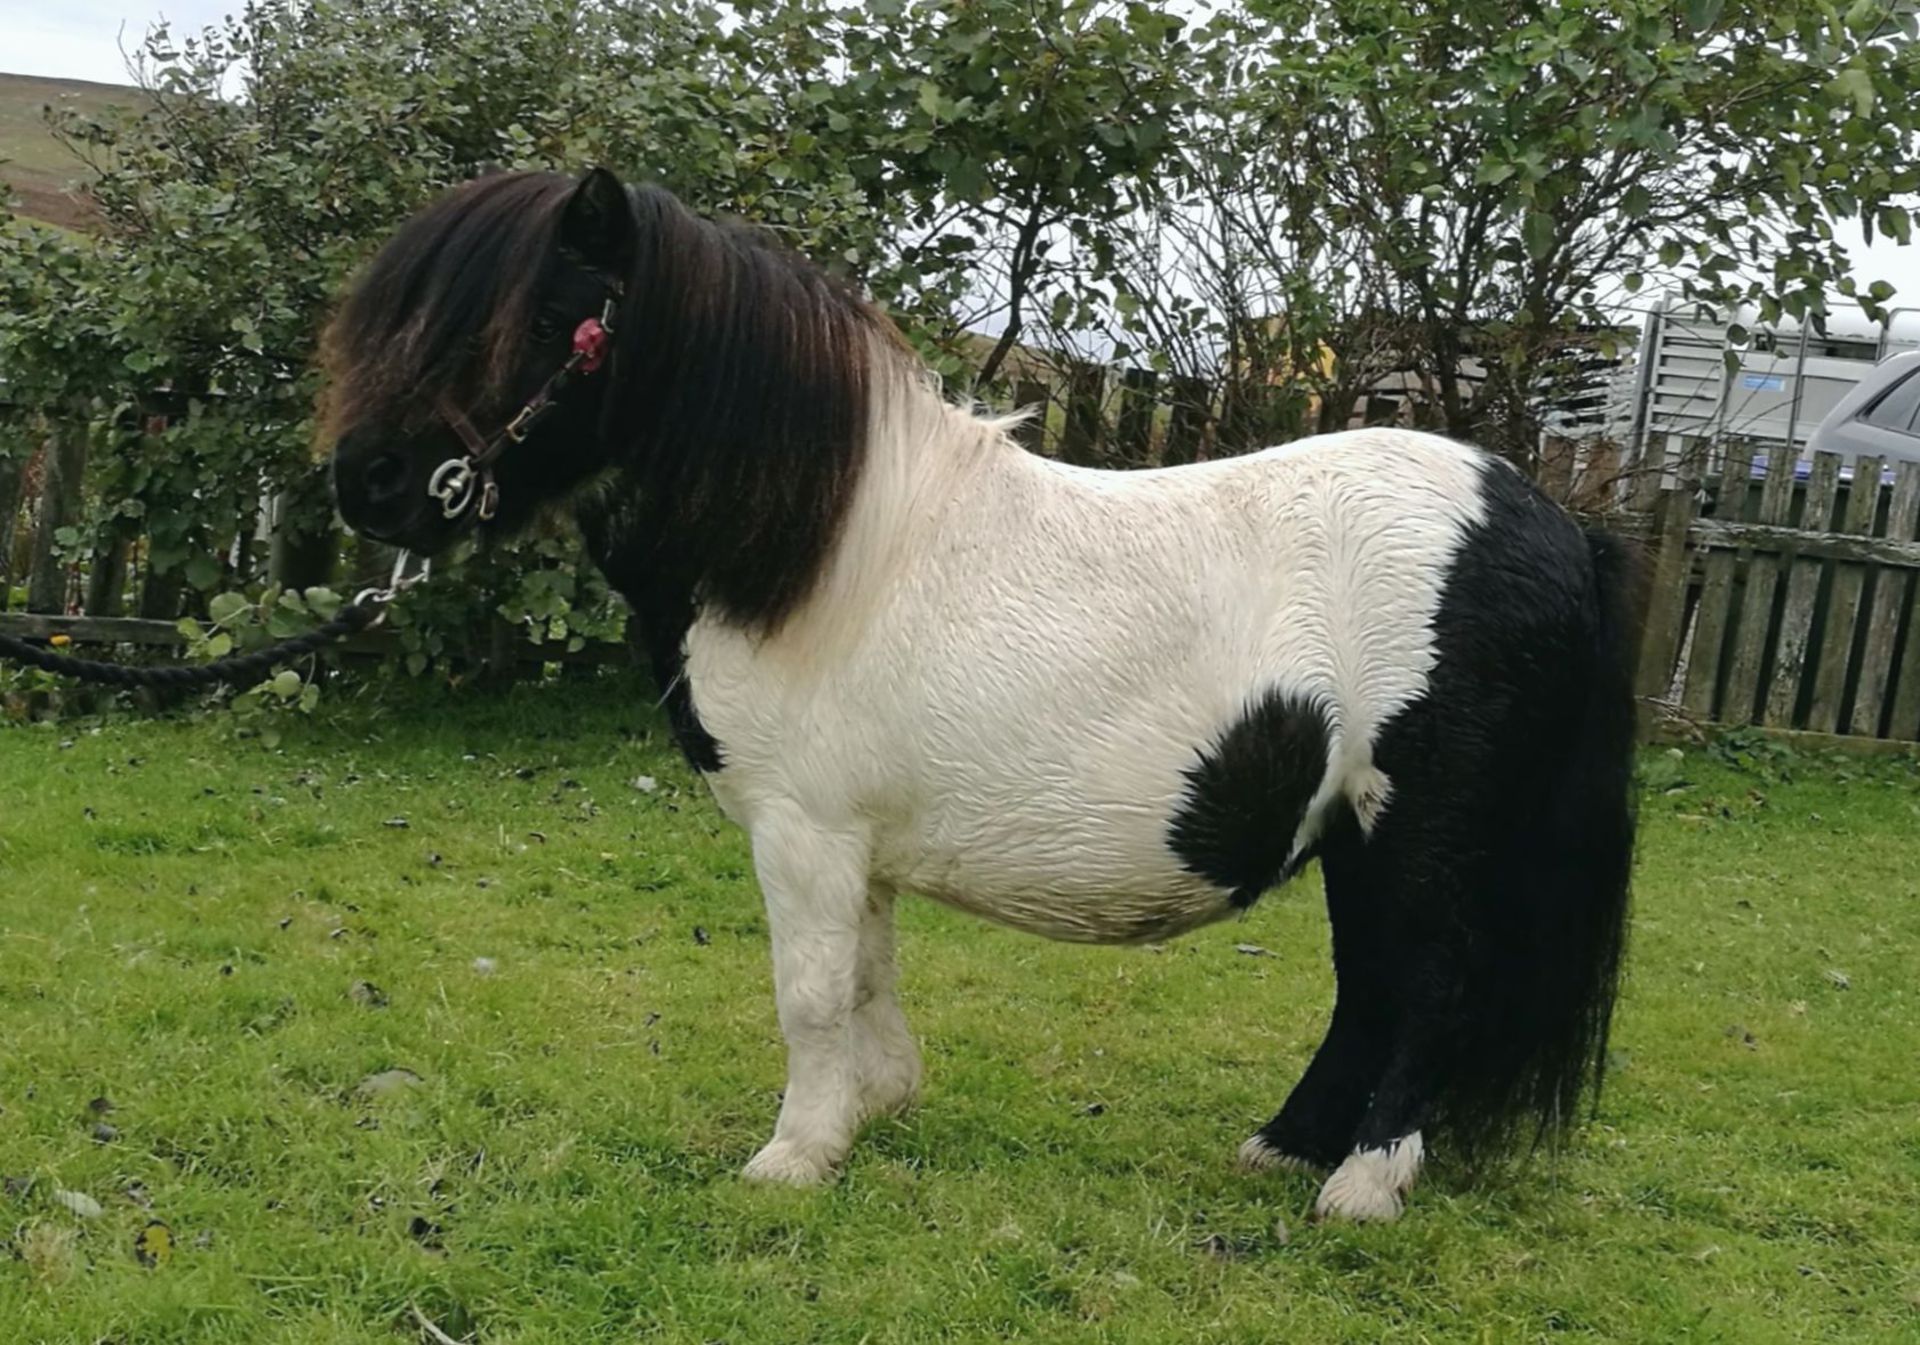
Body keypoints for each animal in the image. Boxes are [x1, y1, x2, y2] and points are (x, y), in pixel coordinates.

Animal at [326, 165, 1635, 1220]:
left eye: (547, 319)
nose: (367, 482)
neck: (823, 551)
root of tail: (1552, 525)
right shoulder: (855, 844)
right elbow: (866, 974)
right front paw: (871, 1111)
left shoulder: (802, 832)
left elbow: (809, 992)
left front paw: (794, 1156)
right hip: (1360, 831)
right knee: (1369, 986)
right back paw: (1286, 1148)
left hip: (1421, 827)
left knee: (1429, 984)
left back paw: (1362, 1184)